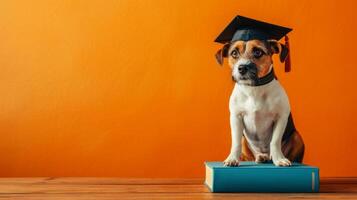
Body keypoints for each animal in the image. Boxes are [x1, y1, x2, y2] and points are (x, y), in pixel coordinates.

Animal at [214, 38, 304, 166]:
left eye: (258, 52)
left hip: (297, 137)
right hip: (246, 143)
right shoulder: (236, 118)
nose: (242, 68)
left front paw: (279, 159)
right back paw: (261, 157)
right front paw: (232, 159)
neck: (254, 88)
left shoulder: (280, 118)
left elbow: (275, 141)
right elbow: (235, 142)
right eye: (234, 53)